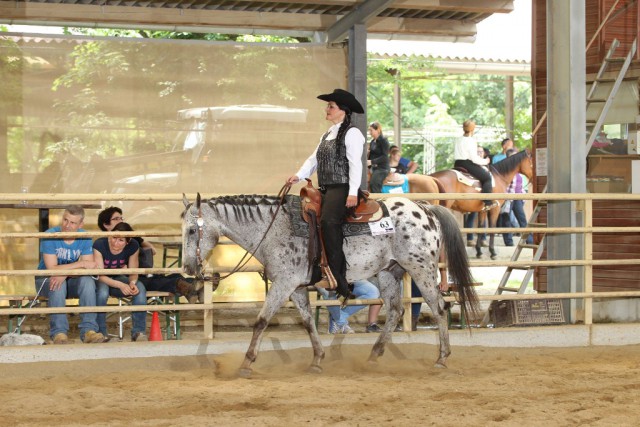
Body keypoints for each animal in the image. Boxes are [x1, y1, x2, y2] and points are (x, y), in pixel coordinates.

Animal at [182, 194, 478, 378]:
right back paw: (373, 357)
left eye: (192, 230)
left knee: (439, 308)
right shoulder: (296, 287)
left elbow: (261, 321)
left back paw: (441, 359)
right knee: (396, 311)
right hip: (388, 272)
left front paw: (246, 363)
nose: (187, 269)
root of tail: (425, 208)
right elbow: (307, 322)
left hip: (421, 268)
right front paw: (317, 360)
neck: (275, 229)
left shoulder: (284, 283)